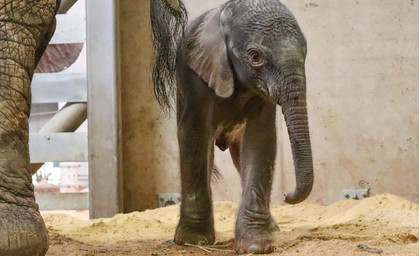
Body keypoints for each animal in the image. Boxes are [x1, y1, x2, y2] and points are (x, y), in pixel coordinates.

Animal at [149, 0, 314, 253]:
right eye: (255, 56)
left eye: (305, 52)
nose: (287, 195)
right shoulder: (195, 76)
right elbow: (194, 139)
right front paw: (193, 240)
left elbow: (259, 142)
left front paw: (256, 246)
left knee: (239, 158)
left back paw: (272, 227)